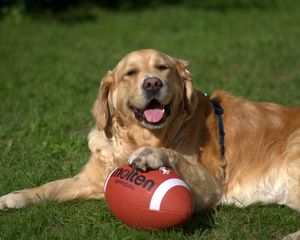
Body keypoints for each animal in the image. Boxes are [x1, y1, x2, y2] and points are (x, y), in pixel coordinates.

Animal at [0, 48, 300, 236]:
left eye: (162, 68)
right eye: (130, 73)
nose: (153, 83)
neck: (142, 136)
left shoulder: (212, 187)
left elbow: (171, 155)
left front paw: (151, 154)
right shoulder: (90, 179)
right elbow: (52, 186)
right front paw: (16, 197)